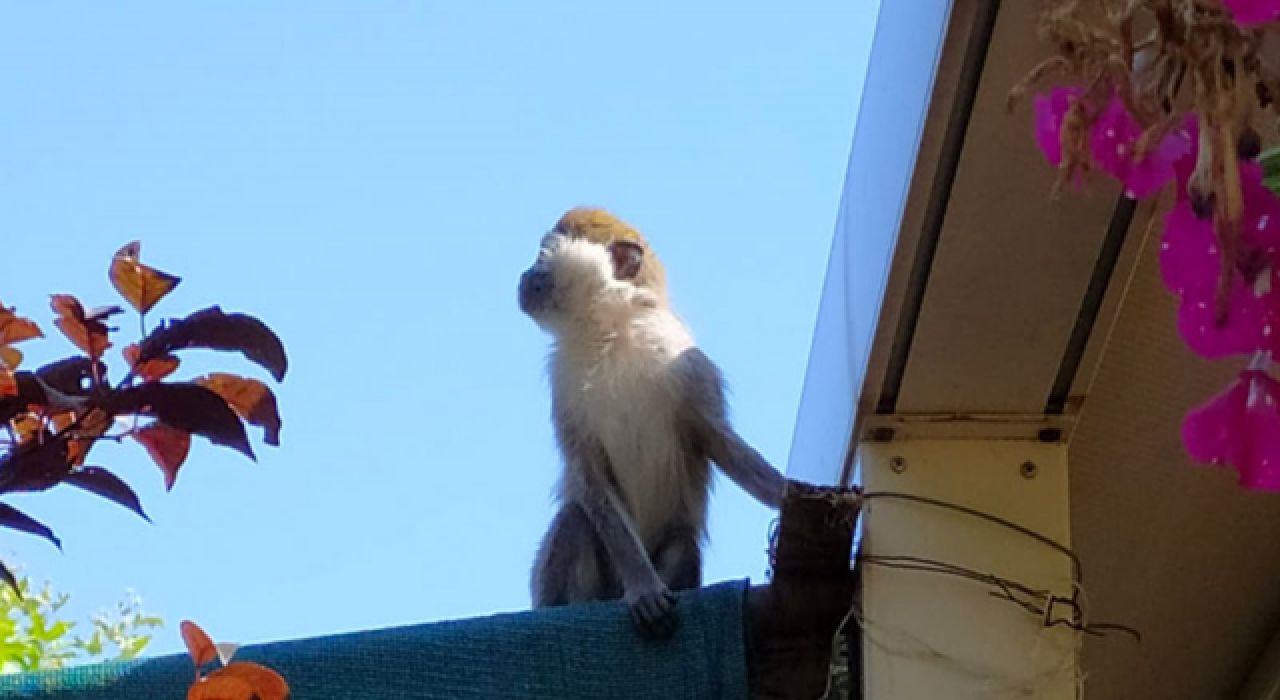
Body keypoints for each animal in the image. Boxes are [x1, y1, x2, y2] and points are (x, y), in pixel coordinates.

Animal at [517, 207, 778, 639]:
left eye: (542, 255)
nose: (524, 274)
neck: (608, 330)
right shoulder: (564, 382)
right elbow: (589, 473)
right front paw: (644, 587)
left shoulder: (685, 362)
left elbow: (717, 439)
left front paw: (795, 495)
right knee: (576, 521)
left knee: (683, 541)